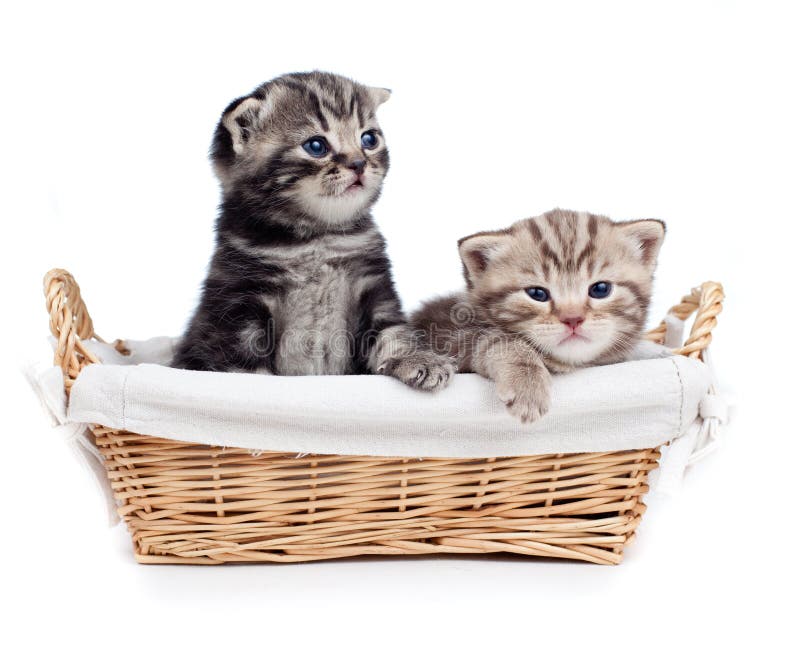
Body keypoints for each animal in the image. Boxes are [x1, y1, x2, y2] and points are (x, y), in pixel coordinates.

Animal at [172, 72, 454, 390]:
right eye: (316, 146)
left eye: (369, 139)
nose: (359, 163)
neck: (316, 237)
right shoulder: (239, 305)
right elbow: (245, 367)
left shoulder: (374, 287)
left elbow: (393, 332)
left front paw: (420, 360)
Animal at [410, 211, 664, 426]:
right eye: (537, 293)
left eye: (600, 289)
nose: (572, 319)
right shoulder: (451, 333)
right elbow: (498, 339)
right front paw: (526, 383)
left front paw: (654, 350)